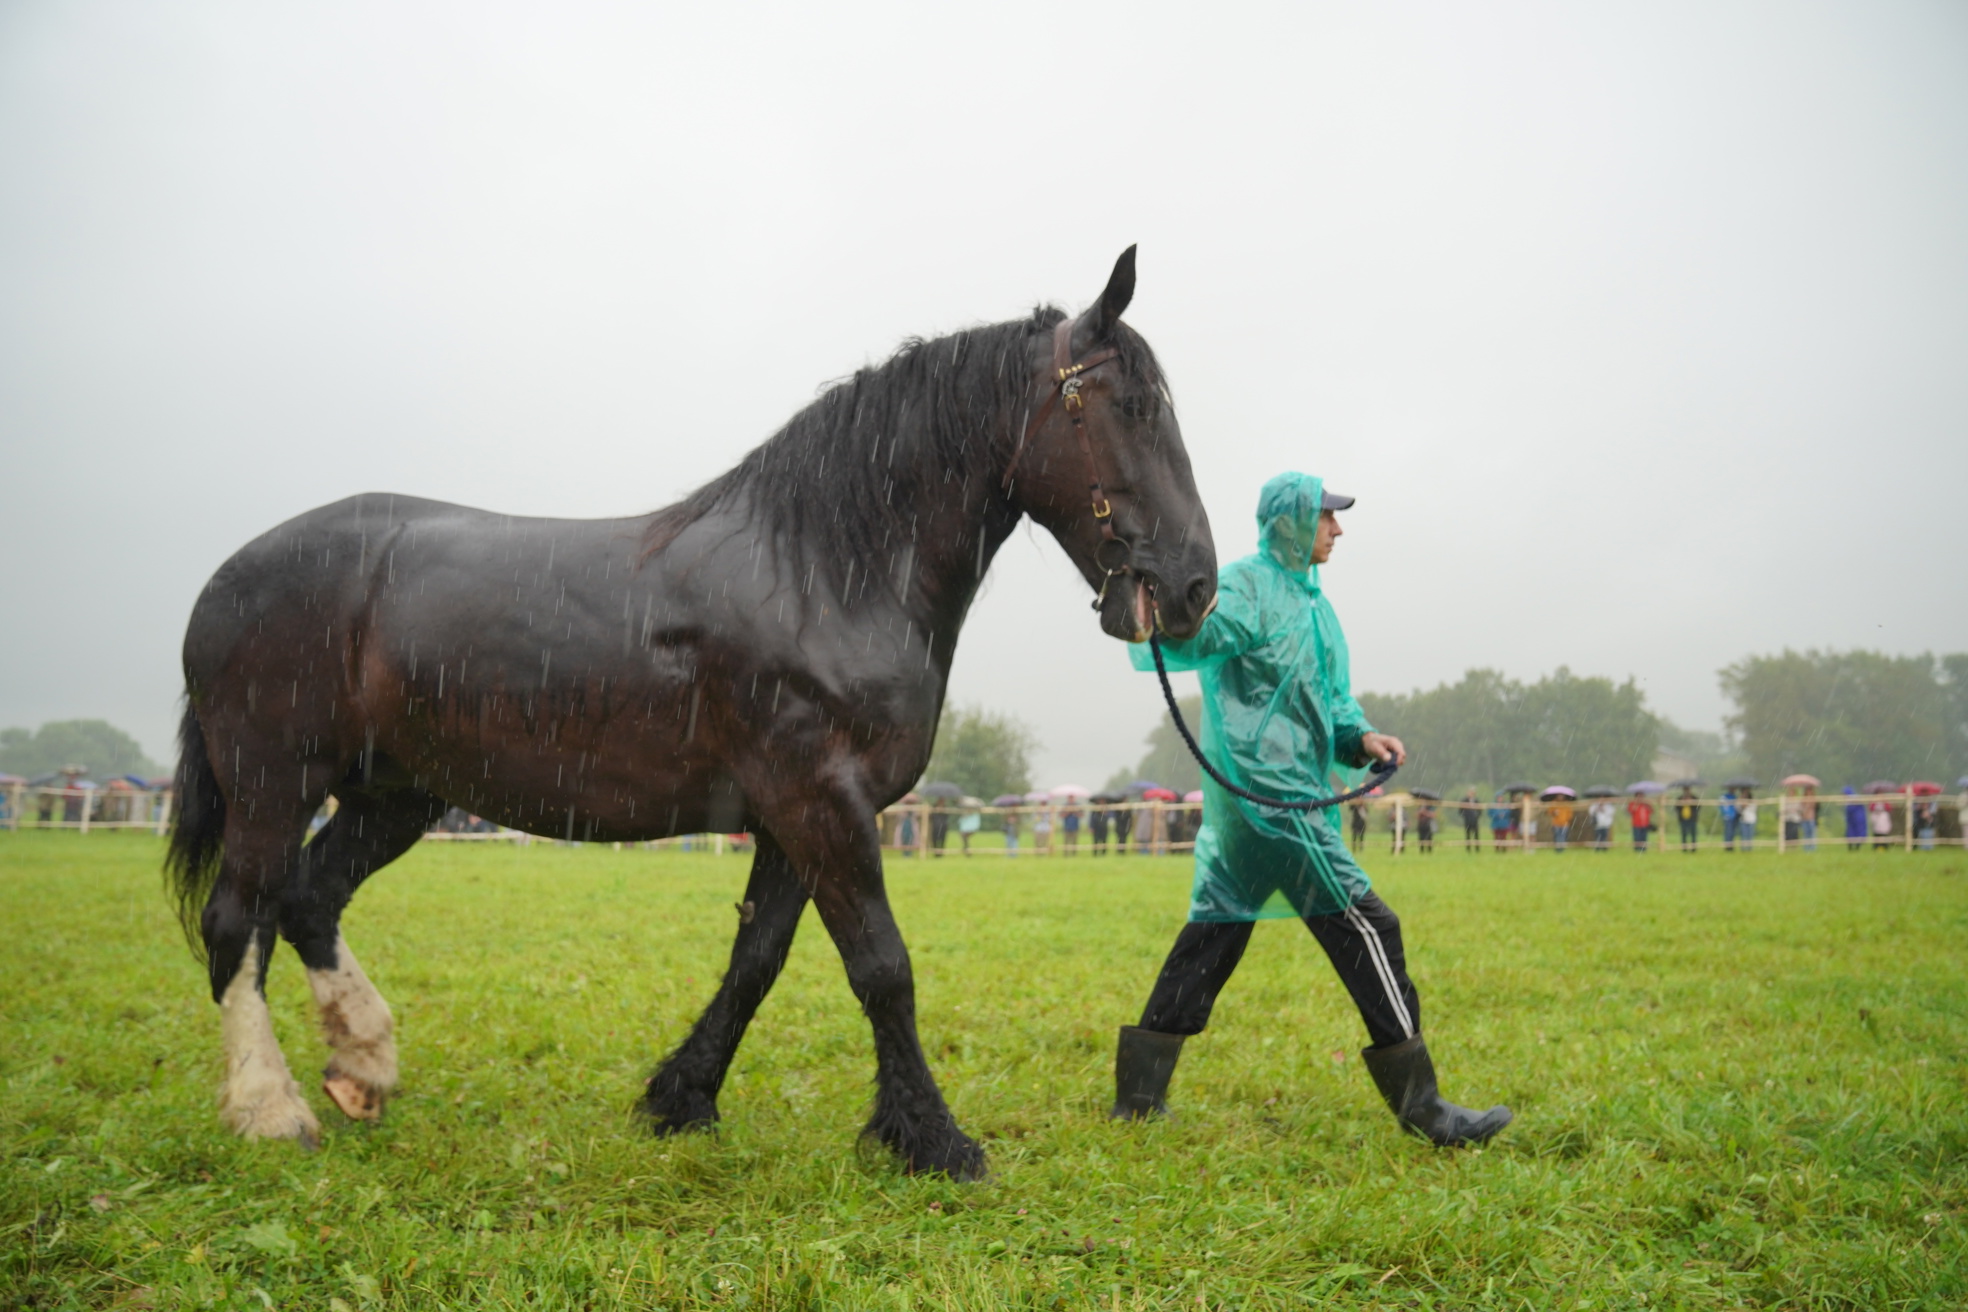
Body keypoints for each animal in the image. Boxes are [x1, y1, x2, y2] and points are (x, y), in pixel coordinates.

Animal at [165, 248, 1212, 1180]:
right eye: (1132, 407)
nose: (1194, 584)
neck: (823, 571)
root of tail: (226, 577)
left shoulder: (798, 817)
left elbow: (758, 959)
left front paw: (682, 1098)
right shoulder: (818, 802)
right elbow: (882, 964)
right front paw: (935, 1141)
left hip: (395, 795)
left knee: (310, 897)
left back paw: (364, 1066)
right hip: (273, 781)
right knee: (237, 917)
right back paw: (269, 1108)